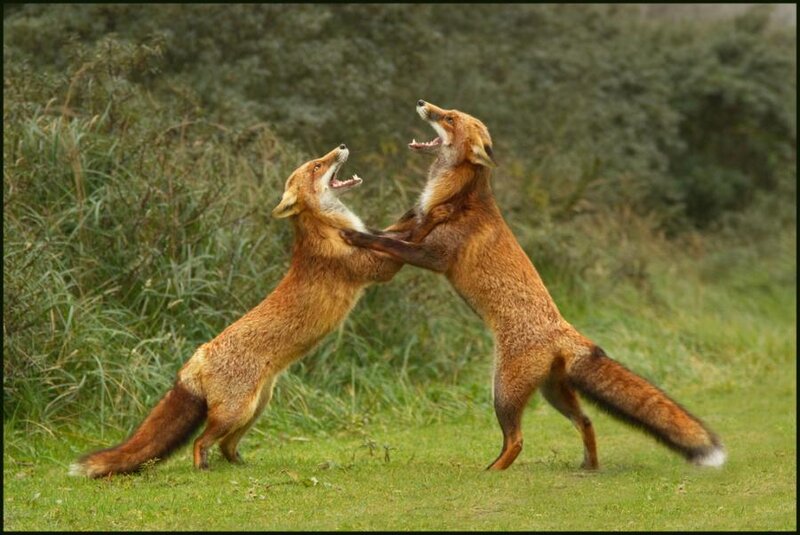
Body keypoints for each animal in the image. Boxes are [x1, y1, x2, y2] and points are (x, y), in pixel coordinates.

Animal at [70, 144, 448, 478]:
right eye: (316, 165)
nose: (341, 146)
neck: (326, 226)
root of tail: (198, 356)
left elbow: (395, 230)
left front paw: (423, 210)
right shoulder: (374, 268)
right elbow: (399, 241)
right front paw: (432, 217)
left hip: (256, 408)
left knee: (226, 445)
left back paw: (239, 464)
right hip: (237, 412)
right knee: (201, 441)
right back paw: (202, 467)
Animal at [342, 100, 726, 471]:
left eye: (449, 118)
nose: (423, 102)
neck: (451, 196)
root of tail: (566, 331)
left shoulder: (431, 254)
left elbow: (383, 242)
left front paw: (353, 236)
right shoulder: (411, 230)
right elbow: (385, 233)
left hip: (503, 391)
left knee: (517, 441)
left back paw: (491, 472)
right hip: (553, 393)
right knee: (586, 421)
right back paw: (588, 466)